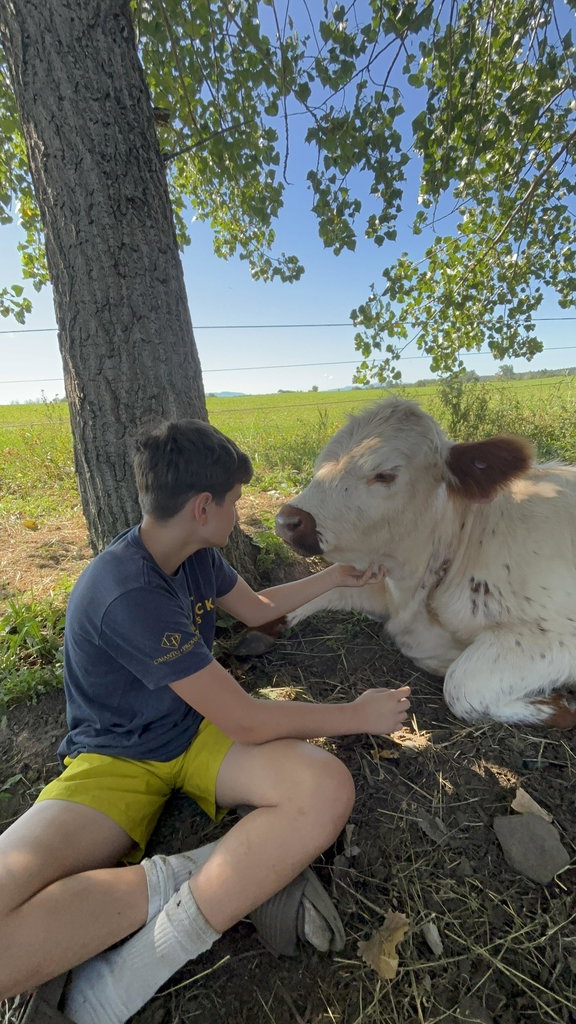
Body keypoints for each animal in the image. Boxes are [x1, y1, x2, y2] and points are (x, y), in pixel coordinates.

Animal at [275, 398, 576, 729]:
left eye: (384, 475)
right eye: (322, 463)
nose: (287, 521)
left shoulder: (553, 637)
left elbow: (460, 687)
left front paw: (558, 705)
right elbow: (318, 590)